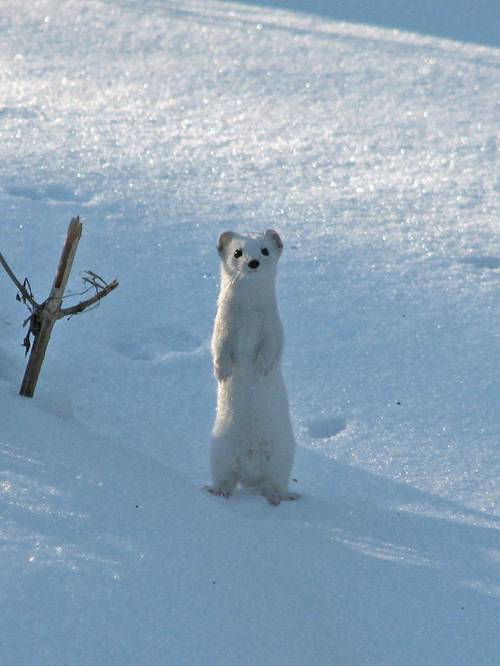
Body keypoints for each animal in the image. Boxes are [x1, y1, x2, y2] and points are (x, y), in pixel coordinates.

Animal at [207, 228, 296, 504]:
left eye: (265, 250)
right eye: (237, 252)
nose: (253, 262)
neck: (248, 315)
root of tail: (250, 472)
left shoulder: (274, 328)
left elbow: (272, 347)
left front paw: (262, 367)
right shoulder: (221, 329)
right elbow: (218, 349)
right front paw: (222, 372)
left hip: (283, 456)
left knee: (274, 484)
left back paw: (279, 498)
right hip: (219, 451)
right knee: (226, 478)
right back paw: (217, 491)